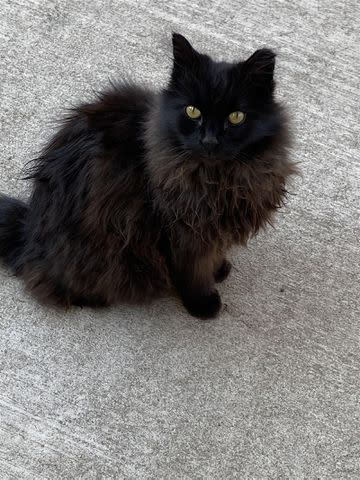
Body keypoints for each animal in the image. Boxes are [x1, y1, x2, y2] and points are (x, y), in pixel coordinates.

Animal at [0, 33, 296, 318]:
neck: (218, 179)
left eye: (236, 117)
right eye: (193, 111)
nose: (209, 141)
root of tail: (28, 234)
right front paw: (203, 303)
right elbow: (193, 273)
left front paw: (219, 268)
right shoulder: (180, 234)